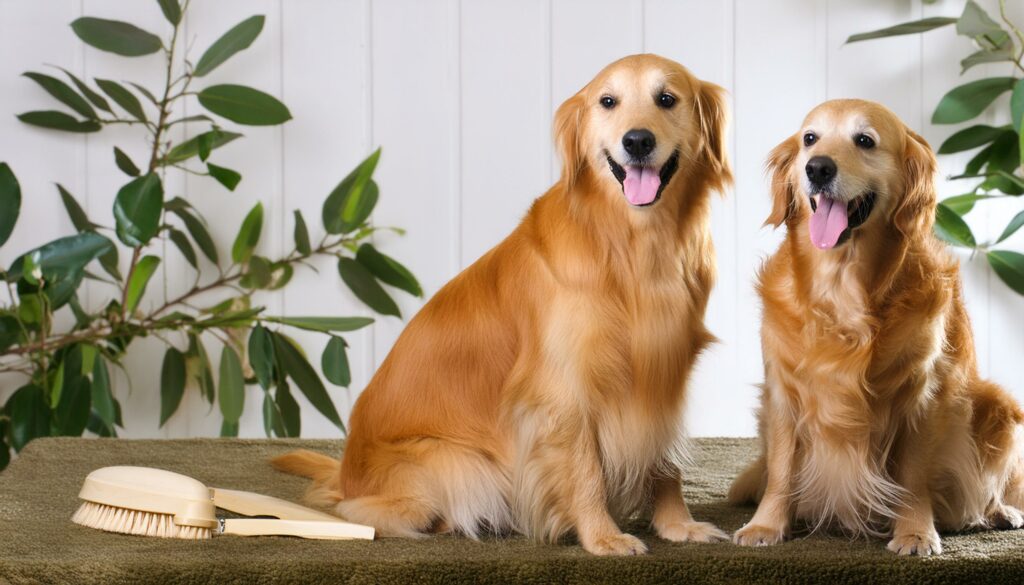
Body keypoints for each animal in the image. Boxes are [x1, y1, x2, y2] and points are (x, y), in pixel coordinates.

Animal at [272, 56, 733, 557]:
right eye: (607, 101)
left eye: (666, 98)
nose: (637, 140)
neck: (632, 247)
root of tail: (345, 471)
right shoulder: (563, 389)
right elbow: (585, 469)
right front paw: (602, 536)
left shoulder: (665, 371)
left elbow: (665, 460)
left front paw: (678, 525)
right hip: (459, 467)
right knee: (368, 510)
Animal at [729, 100, 1024, 557]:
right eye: (809, 138)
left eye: (865, 140)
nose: (817, 168)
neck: (842, 289)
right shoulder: (782, 389)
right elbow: (780, 468)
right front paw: (766, 524)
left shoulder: (922, 394)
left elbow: (913, 476)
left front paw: (915, 531)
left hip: (998, 406)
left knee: (987, 488)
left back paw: (1000, 512)